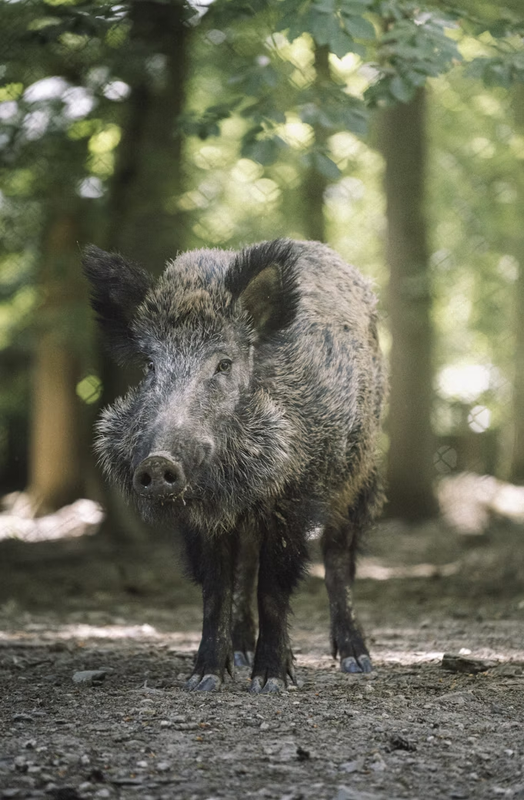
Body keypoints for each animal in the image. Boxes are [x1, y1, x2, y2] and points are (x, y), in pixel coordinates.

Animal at [83, 239, 386, 693]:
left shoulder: (294, 499)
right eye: (151, 366)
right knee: (245, 565)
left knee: (337, 559)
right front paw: (204, 679)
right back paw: (241, 654)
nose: (157, 463)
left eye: (223, 364)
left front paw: (270, 682)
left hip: (358, 476)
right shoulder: (202, 517)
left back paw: (356, 660)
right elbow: (217, 588)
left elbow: (273, 586)